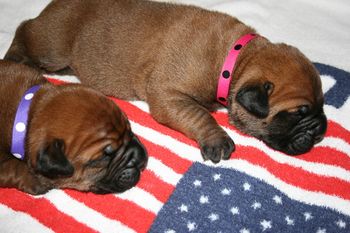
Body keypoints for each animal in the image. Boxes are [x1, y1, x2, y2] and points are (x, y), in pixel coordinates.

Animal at [4, 0, 328, 163]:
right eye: (298, 113)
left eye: (322, 106)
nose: (321, 129)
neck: (236, 57)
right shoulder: (168, 95)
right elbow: (198, 115)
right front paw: (216, 139)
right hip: (52, 46)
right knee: (24, 30)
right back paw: (15, 58)